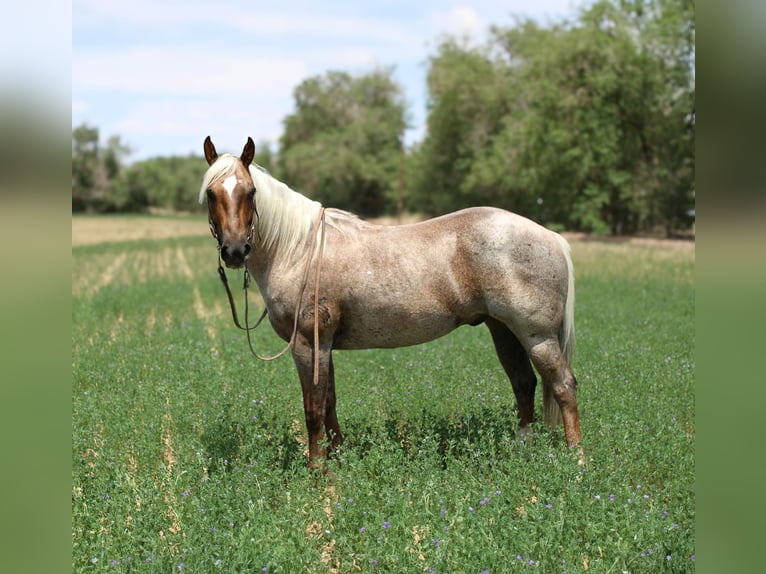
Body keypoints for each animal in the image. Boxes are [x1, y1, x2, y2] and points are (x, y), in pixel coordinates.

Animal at [199, 136, 582, 468]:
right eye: (211, 193)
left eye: (250, 192)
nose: (235, 251)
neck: (300, 249)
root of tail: (553, 238)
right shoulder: (325, 344)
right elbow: (330, 401)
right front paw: (338, 458)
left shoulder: (307, 344)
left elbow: (313, 408)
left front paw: (316, 470)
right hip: (503, 330)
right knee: (524, 384)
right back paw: (523, 452)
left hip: (537, 337)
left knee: (563, 386)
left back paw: (576, 460)